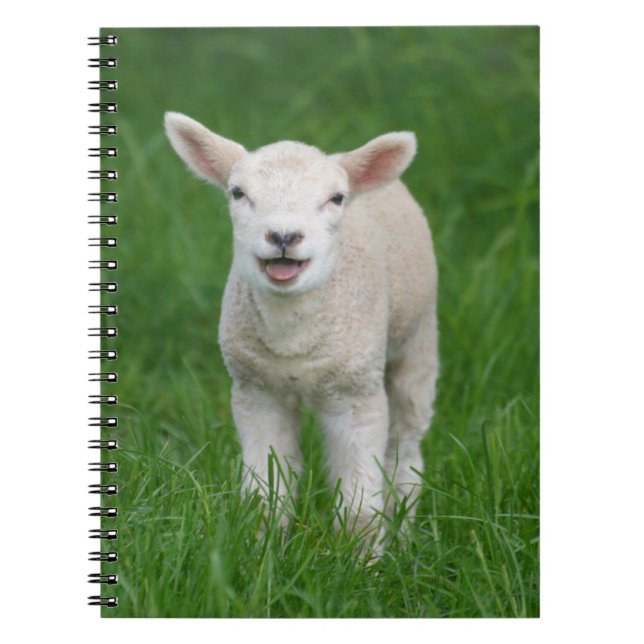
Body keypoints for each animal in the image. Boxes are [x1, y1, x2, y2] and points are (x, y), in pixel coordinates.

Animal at [165, 112, 439, 547]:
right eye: (237, 193)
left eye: (337, 198)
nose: (283, 236)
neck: (291, 339)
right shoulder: (257, 392)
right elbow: (266, 493)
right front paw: (260, 548)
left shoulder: (357, 396)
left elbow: (360, 506)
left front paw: (361, 559)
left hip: (418, 340)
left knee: (406, 446)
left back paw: (405, 528)